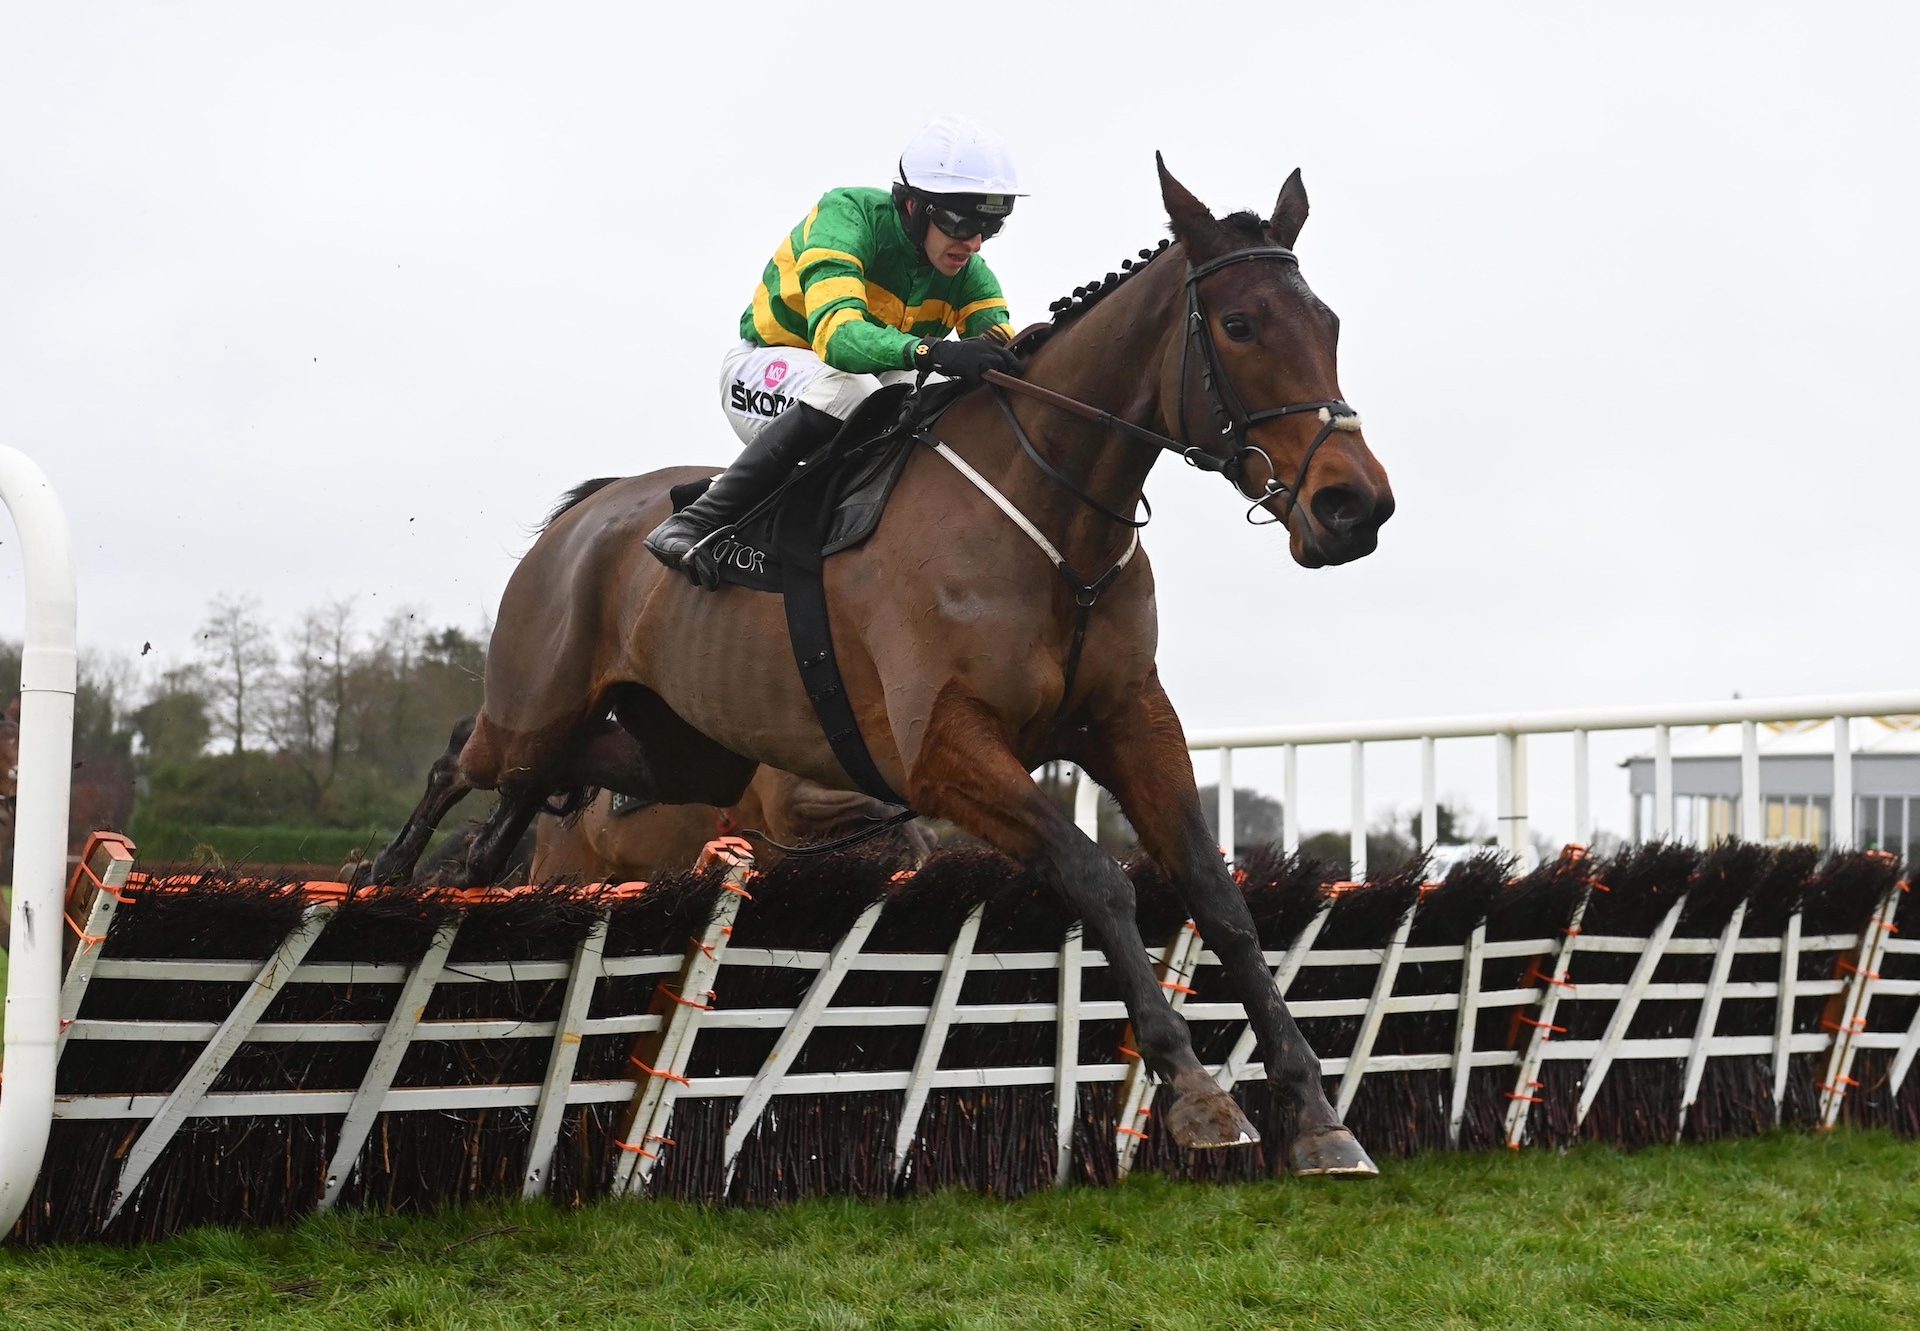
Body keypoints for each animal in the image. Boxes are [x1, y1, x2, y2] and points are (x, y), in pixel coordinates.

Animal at [370, 158, 1397, 1175]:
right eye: (1240, 324)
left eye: (1331, 323)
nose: (1355, 507)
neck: (1052, 520)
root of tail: (585, 514)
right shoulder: (939, 751)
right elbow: (1096, 874)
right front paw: (1194, 1091)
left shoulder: (1130, 722)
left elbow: (1218, 895)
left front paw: (1315, 1111)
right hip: (538, 707)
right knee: (462, 753)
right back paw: (390, 876)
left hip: (683, 754)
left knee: (528, 792)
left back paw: (473, 868)